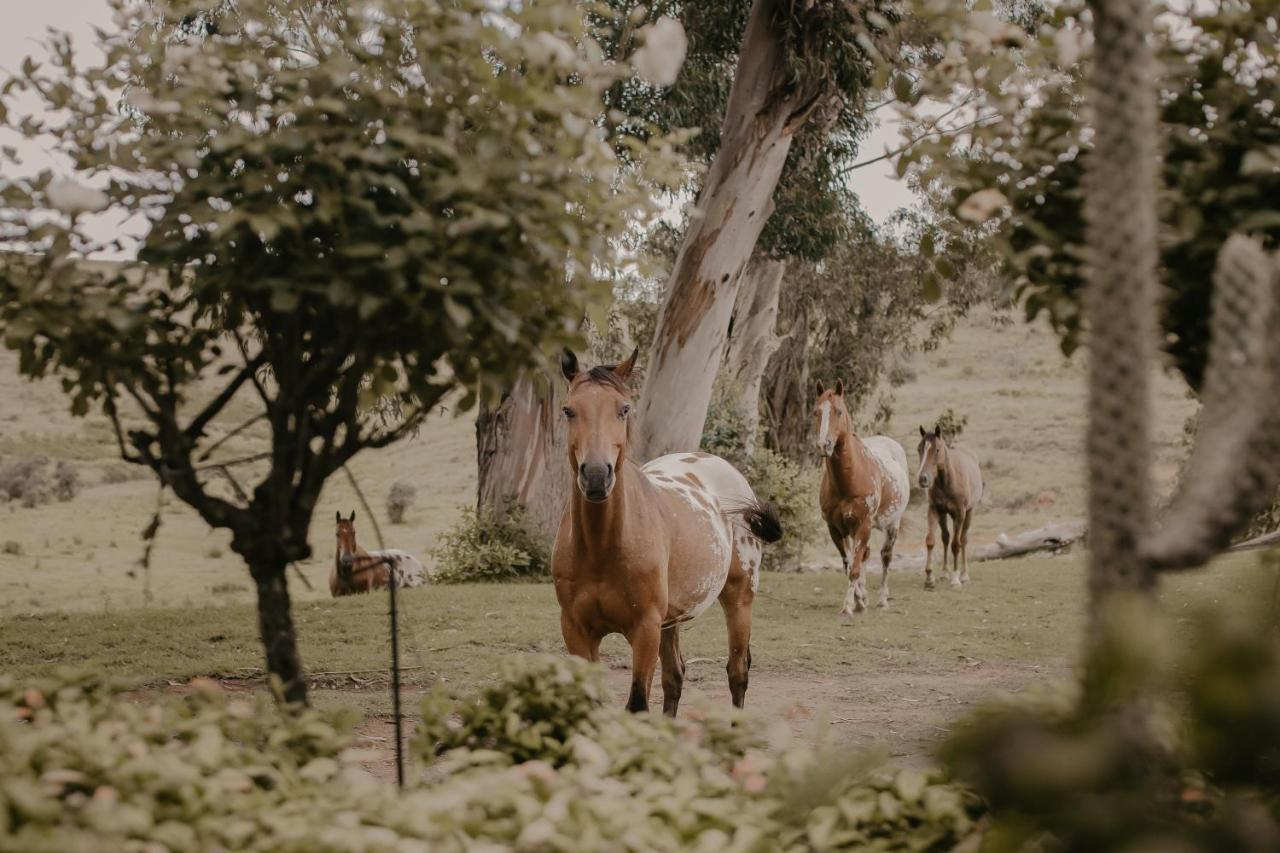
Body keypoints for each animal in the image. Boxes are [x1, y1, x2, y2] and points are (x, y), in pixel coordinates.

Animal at [552, 348, 783, 712]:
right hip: (671, 619)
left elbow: (637, 704)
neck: (602, 546)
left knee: (737, 672)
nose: (596, 476)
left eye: (624, 409)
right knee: (674, 677)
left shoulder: (645, 629)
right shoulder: (577, 630)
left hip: (739, 598)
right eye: (568, 410)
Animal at [808, 379, 911, 617]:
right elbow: (849, 564)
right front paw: (859, 600)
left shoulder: (862, 525)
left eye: (838, 411)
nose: (823, 445)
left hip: (891, 525)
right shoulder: (837, 529)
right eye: (816, 412)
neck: (849, 481)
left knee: (885, 557)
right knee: (866, 554)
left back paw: (882, 599)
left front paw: (848, 606)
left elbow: (854, 569)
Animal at [916, 422, 983, 584]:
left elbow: (956, 545)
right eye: (919, 449)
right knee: (945, 538)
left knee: (963, 540)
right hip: (944, 515)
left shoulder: (960, 513)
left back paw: (964, 574)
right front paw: (929, 577)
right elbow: (931, 540)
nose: (923, 479)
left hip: (969, 513)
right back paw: (945, 572)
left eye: (937, 450)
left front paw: (956, 578)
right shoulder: (934, 510)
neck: (948, 481)